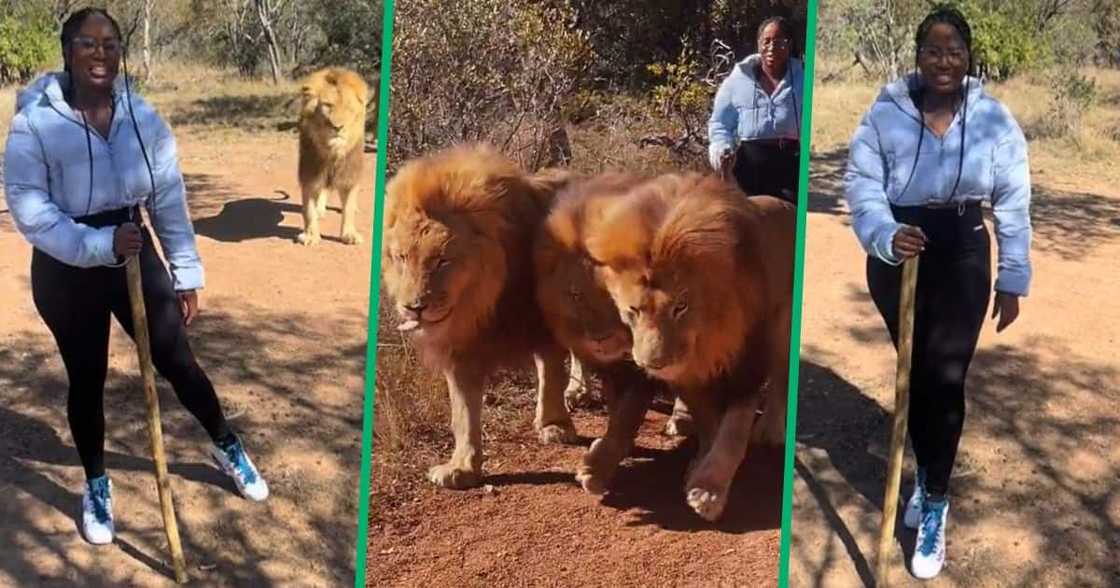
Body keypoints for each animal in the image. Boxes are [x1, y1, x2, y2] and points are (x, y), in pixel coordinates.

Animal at [295, 65, 369, 245]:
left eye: (348, 107)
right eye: (328, 105)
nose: (338, 127)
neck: (332, 151)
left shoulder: (350, 174)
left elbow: (348, 207)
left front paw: (350, 234)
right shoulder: (310, 174)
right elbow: (308, 210)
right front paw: (310, 236)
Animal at [383, 144, 577, 488]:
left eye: (442, 261)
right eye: (402, 258)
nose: (413, 307)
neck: (483, 301)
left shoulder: (543, 325)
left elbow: (551, 375)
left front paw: (555, 426)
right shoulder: (461, 349)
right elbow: (463, 413)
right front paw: (462, 469)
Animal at [586, 173, 797, 517]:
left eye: (680, 307)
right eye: (633, 310)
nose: (654, 364)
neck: (709, 338)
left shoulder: (747, 363)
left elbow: (733, 431)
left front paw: (709, 490)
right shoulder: (689, 374)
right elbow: (707, 422)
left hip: (782, 329)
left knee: (781, 379)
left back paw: (770, 430)